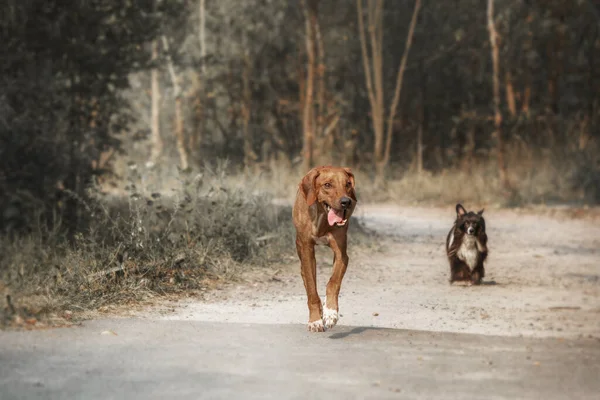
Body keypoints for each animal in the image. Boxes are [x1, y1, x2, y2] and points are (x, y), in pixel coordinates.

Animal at [292, 166, 356, 332]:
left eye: (347, 184)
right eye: (327, 185)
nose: (346, 202)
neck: (322, 216)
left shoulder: (342, 254)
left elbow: (333, 282)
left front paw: (331, 312)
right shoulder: (307, 250)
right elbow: (312, 290)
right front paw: (315, 320)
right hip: (299, 245)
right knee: (306, 276)